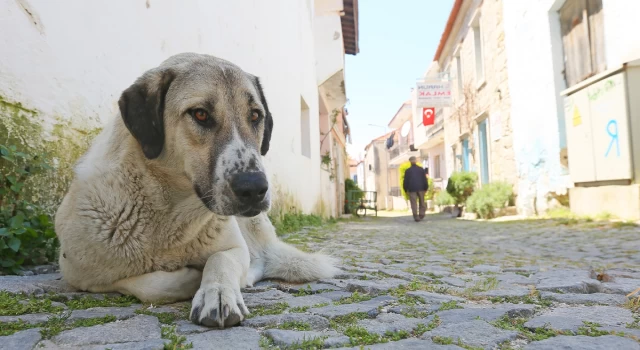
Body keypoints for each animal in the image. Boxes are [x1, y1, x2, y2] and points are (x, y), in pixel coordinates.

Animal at [55, 52, 340, 328]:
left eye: (255, 116)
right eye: (200, 114)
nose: (255, 188)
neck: (170, 216)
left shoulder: (234, 248)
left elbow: (220, 260)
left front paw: (218, 294)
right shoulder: (78, 274)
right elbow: (153, 284)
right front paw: (192, 277)